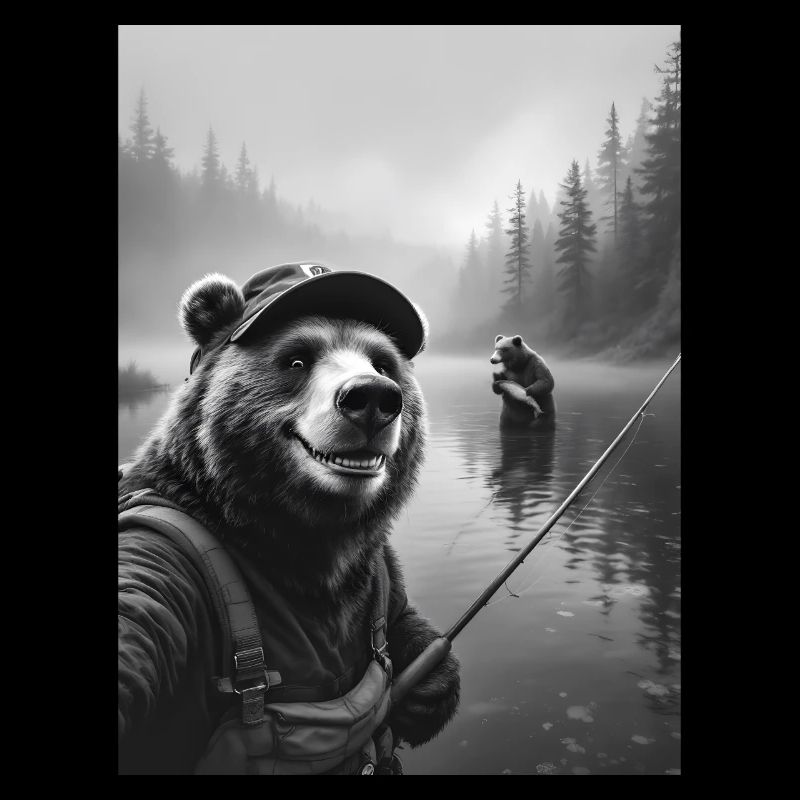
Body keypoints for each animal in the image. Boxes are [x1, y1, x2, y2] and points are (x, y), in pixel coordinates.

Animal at [118, 266, 460, 774]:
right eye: (297, 359)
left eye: (383, 363)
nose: (373, 396)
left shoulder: (372, 562)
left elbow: (399, 613)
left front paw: (431, 685)